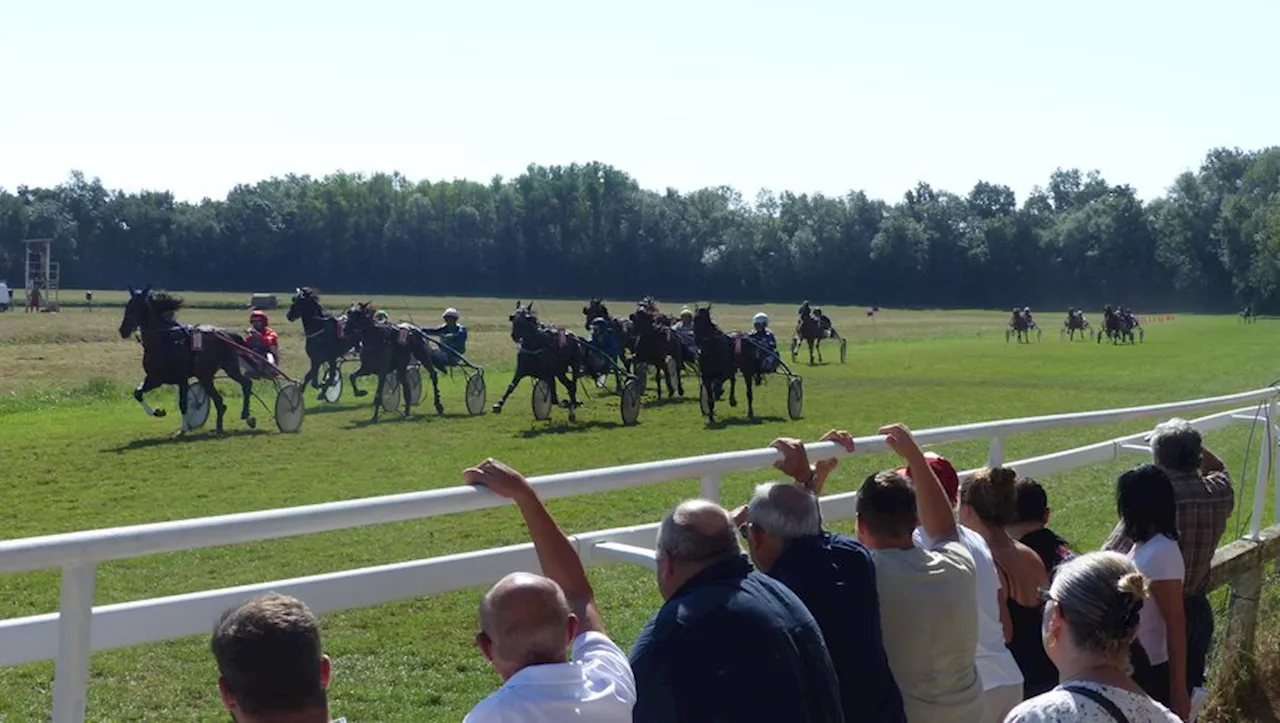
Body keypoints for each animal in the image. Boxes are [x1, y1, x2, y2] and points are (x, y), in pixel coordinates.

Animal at [119, 286, 258, 435]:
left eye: (138, 307)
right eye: (128, 306)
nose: (123, 330)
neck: (165, 342)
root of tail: (226, 334)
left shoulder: (181, 379)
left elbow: (183, 404)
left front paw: (183, 429)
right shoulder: (155, 378)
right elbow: (138, 393)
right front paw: (158, 412)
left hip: (228, 368)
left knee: (245, 384)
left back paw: (246, 416)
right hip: (206, 376)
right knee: (220, 401)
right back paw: (221, 427)